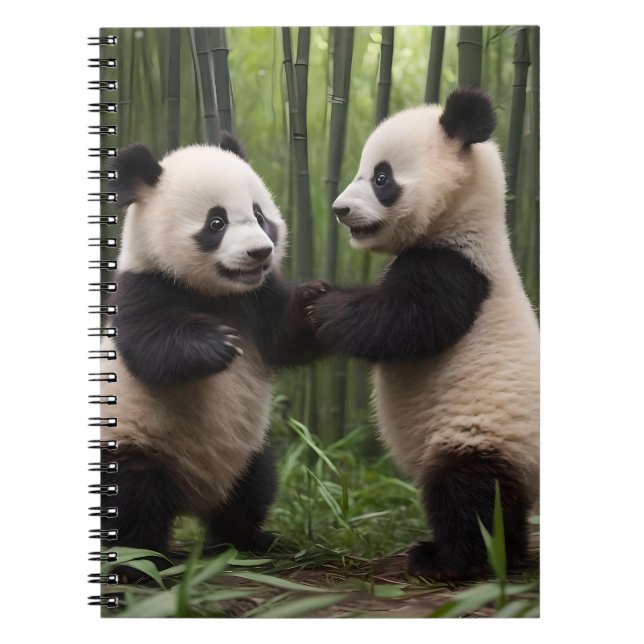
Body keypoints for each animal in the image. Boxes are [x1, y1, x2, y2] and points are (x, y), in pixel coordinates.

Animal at [101, 135, 326, 555]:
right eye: (216, 222)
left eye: (259, 215)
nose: (260, 251)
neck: (216, 294)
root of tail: (193, 496)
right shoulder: (141, 289)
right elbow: (149, 348)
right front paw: (218, 345)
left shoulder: (256, 300)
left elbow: (285, 338)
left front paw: (314, 298)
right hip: (135, 441)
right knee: (133, 497)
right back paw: (144, 557)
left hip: (248, 452)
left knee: (254, 488)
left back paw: (251, 541)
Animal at [309, 88, 539, 581]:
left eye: (381, 178)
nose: (339, 210)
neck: (462, 217)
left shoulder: (460, 271)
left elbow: (403, 324)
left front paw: (324, 307)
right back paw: (507, 554)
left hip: (482, 430)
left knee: (467, 494)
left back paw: (448, 559)